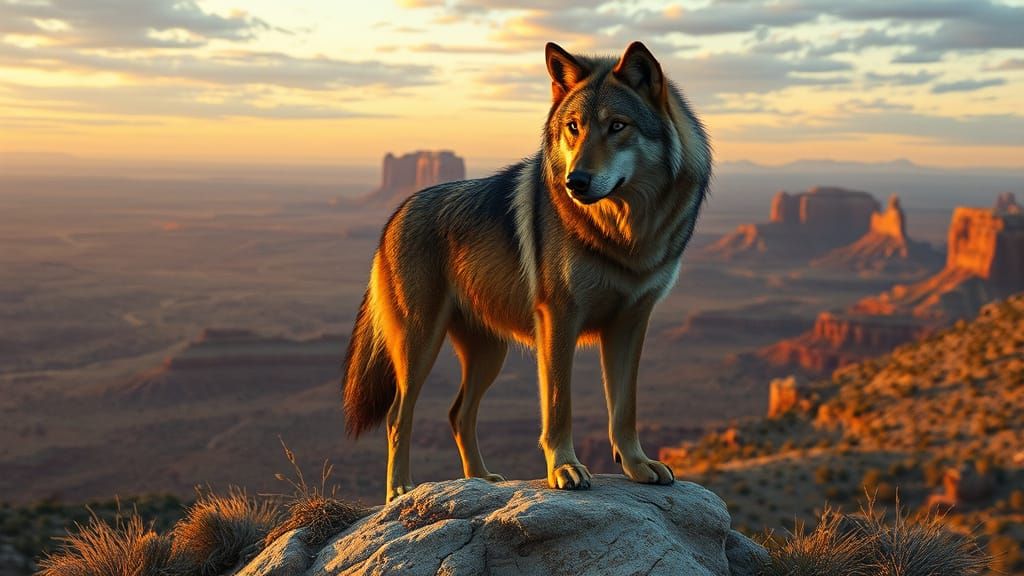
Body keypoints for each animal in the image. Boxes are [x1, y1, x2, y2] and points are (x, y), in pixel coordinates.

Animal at [343, 41, 711, 503]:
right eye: (573, 128)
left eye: (617, 126)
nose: (575, 182)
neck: (623, 234)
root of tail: (395, 214)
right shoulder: (558, 320)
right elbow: (559, 406)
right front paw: (565, 469)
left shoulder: (631, 323)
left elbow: (625, 408)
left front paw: (638, 465)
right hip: (420, 344)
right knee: (397, 415)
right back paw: (399, 490)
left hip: (489, 353)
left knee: (458, 414)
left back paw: (480, 479)